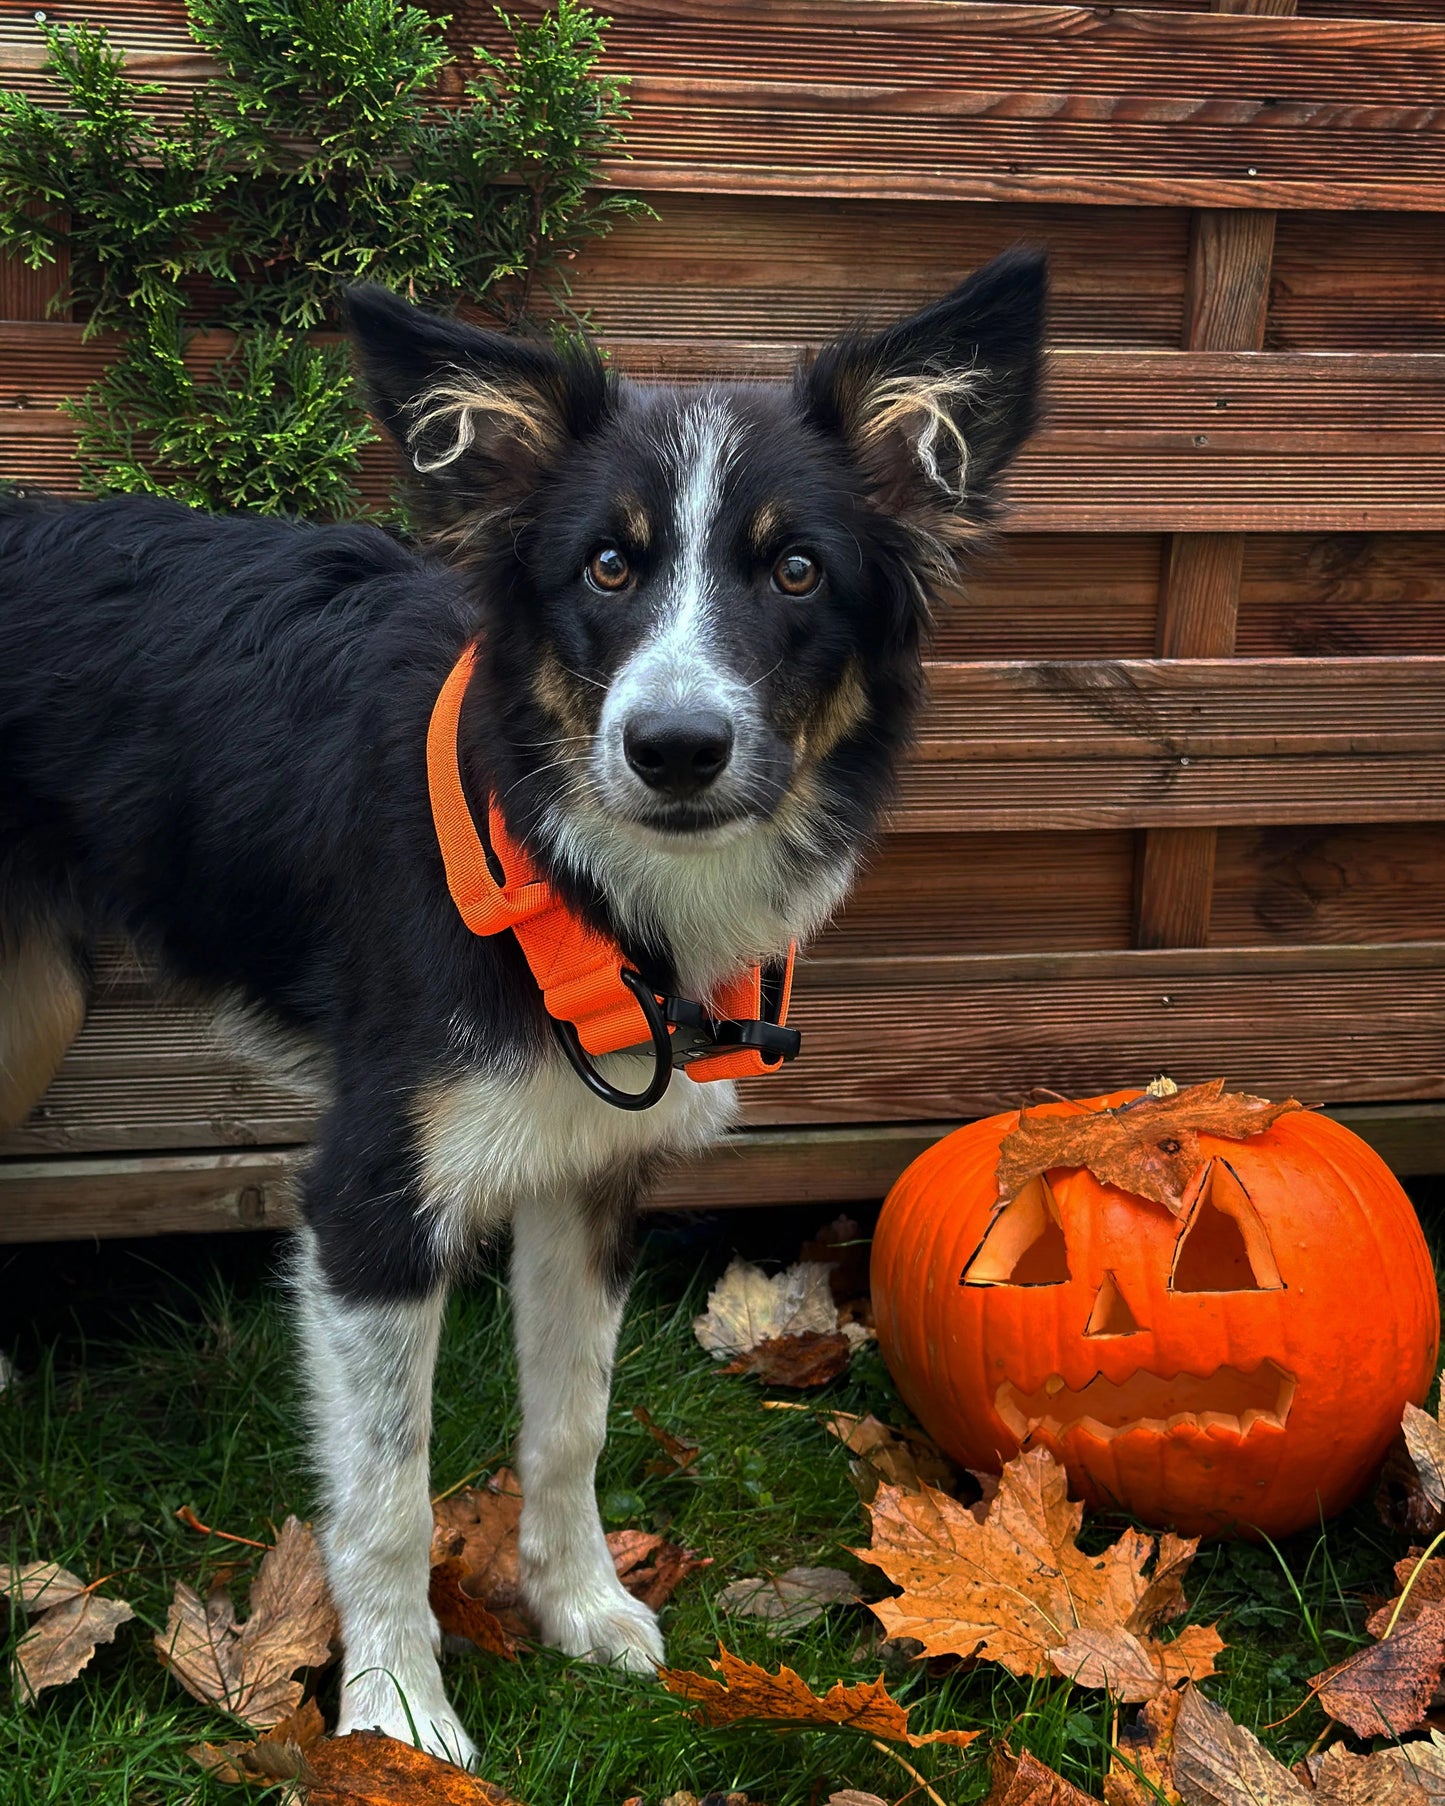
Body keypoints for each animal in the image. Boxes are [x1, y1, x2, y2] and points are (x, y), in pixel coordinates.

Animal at [0, 254, 1047, 1762]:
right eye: (606, 564)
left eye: (796, 568)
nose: (674, 749)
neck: (568, 857)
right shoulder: (370, 1200)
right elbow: (386, 1493)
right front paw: (392, 1713)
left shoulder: (591, 1175)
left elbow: (571, 1423)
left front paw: (580, 1610)